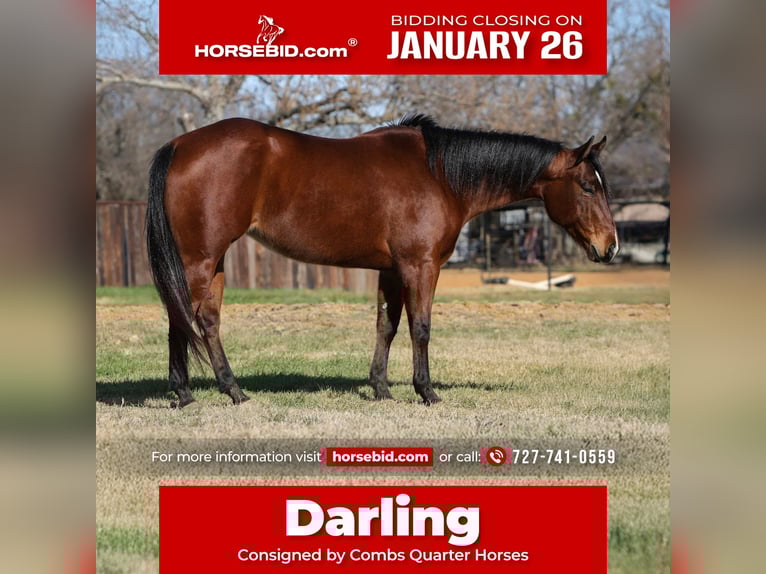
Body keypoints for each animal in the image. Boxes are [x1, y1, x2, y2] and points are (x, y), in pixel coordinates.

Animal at [146, 114, 618, 408]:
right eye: (588, 186)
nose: (610, 246)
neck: (440, 174)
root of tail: (179, 144)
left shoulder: (391, 270)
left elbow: (385, 326)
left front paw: (381, 389)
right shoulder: (420, 266)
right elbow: (420, 327)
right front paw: (426, 392)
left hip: (214, 261)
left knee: (206, 321)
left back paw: (233, 391)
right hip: (198, 260)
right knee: (180, 317)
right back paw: (186, 394)